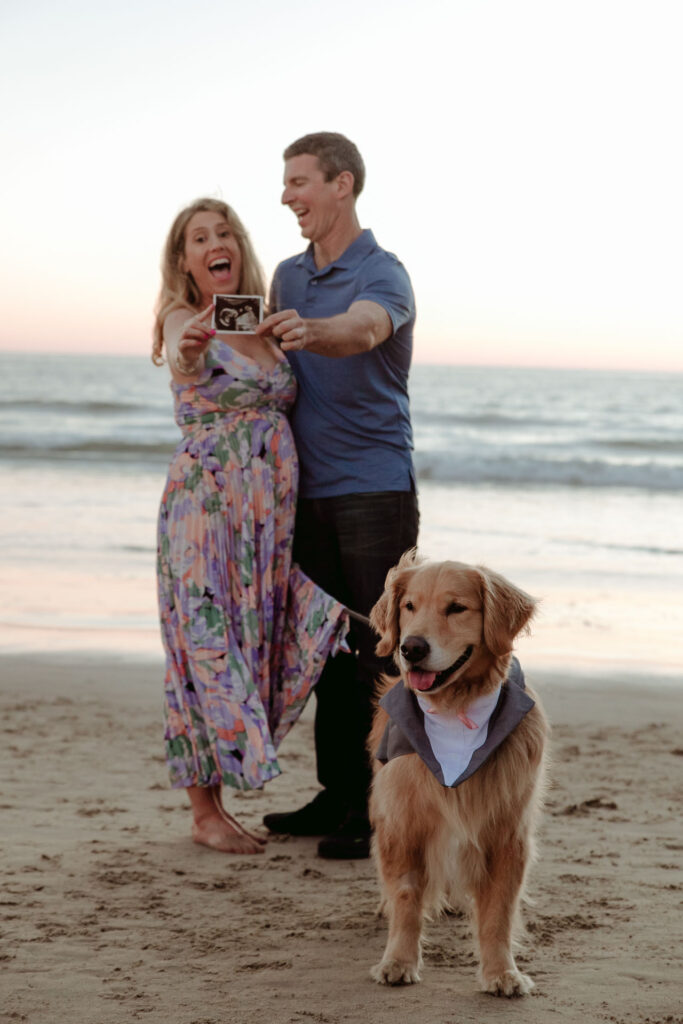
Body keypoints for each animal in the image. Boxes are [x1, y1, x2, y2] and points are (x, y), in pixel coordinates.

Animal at [368, 552, 548, 991]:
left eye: (456, 608)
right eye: (409, 606)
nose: (411, 647)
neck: (456, 710)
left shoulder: (508, 832)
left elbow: (498, 912)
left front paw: (502, 972)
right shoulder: (403, 822)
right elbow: (406, 895)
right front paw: (398, 960)